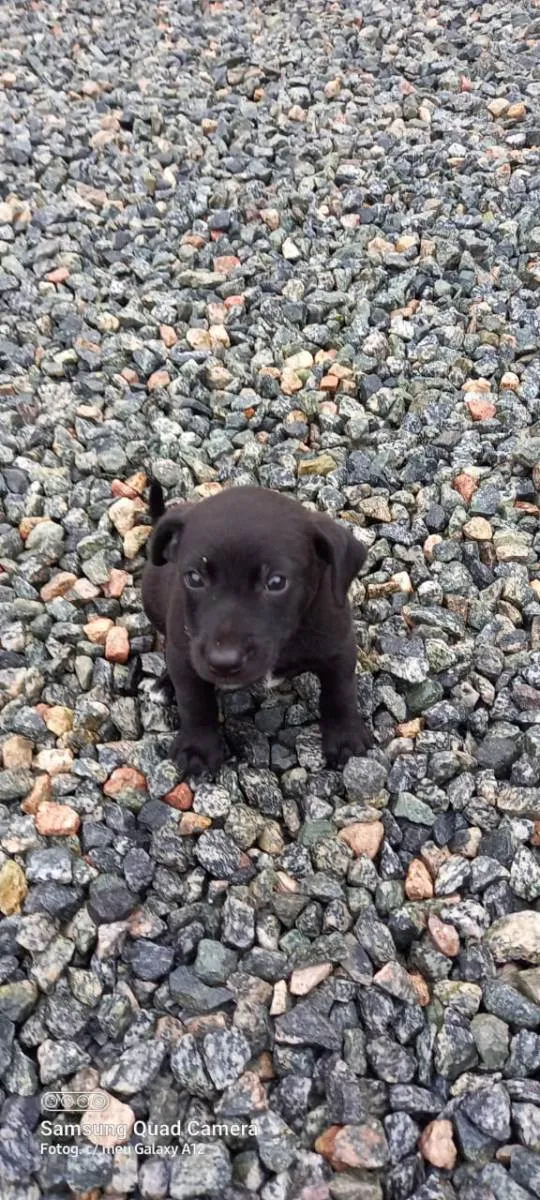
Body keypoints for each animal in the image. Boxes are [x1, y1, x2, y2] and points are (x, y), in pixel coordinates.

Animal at [141, 480, 374, 777]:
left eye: (276, 582)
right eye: (194, 578)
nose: (224, 662)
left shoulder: (339, 646)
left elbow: (340, 692)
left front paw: (345, 737)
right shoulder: (184, 653)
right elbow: (194, 701)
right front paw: (198, 747)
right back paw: (164, 684)